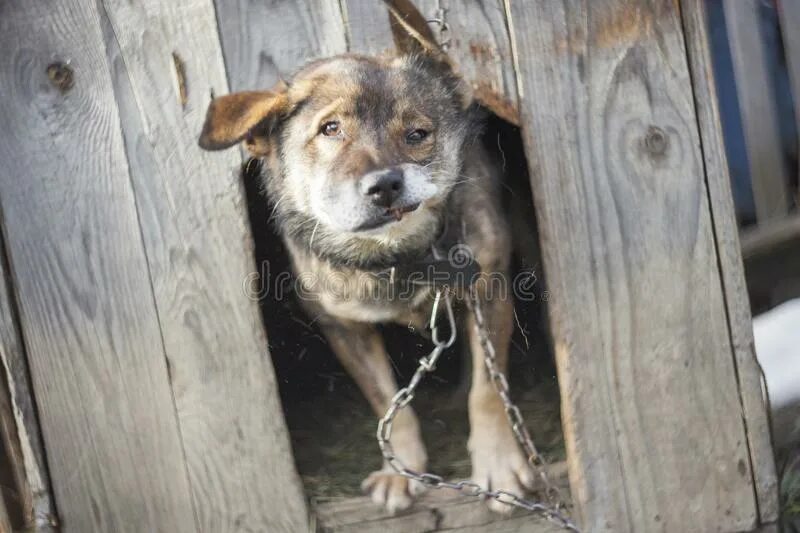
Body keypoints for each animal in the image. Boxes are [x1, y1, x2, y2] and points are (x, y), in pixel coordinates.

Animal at [200, 1, 536, 516]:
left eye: (418, 133)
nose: (384, 185)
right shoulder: (342, 325)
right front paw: (401, 470)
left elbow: (488, 392)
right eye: (330, 129)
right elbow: (388, 402)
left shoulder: (489, 291)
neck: (396, 255)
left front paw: (497, 464)